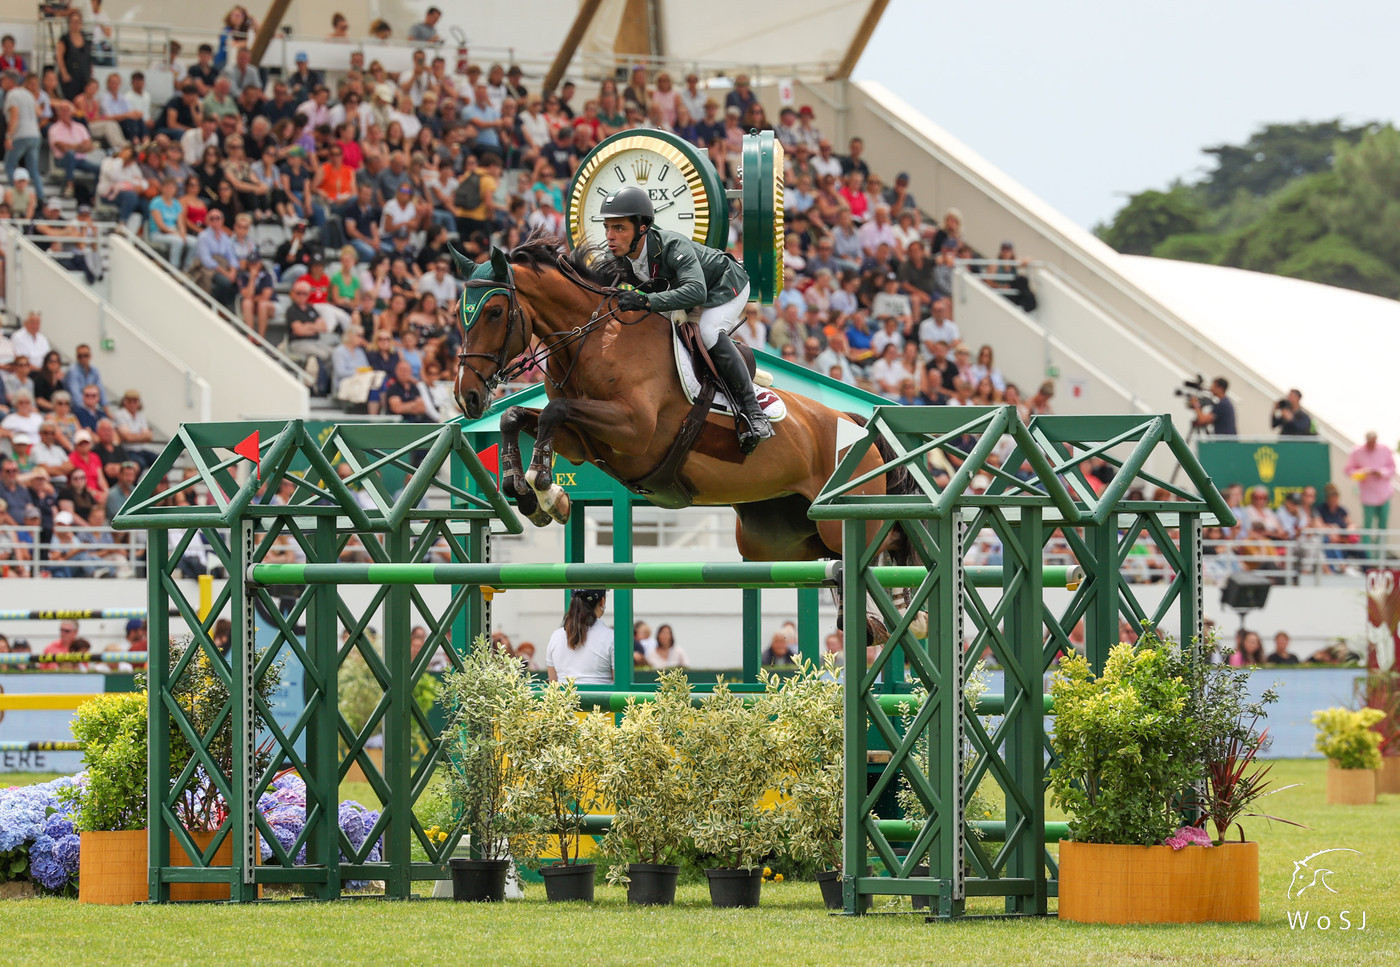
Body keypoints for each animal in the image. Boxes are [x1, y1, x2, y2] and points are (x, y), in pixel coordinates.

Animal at [450, 236, 918, 573]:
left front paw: (545, 490)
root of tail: (854, 423)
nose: (466, 395)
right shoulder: (582, 443)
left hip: (841, 516)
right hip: (776, 538)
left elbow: (552, 412)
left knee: (881, 544)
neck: (592, 341)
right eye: (460, 313)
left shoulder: (634, 431)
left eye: (494, 312)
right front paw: (528, 493)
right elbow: (517, 417)